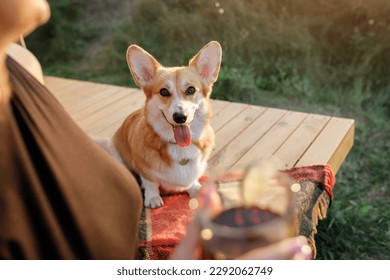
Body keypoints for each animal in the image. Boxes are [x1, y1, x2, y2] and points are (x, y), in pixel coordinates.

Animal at [112, 41, 222, 208]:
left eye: (191, 90)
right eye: (164, 92)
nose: (180, 117)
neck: (179, 147)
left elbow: (192, 181)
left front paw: (195, 188)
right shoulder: (144, 168)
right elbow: (150, 182)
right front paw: (152, 197)